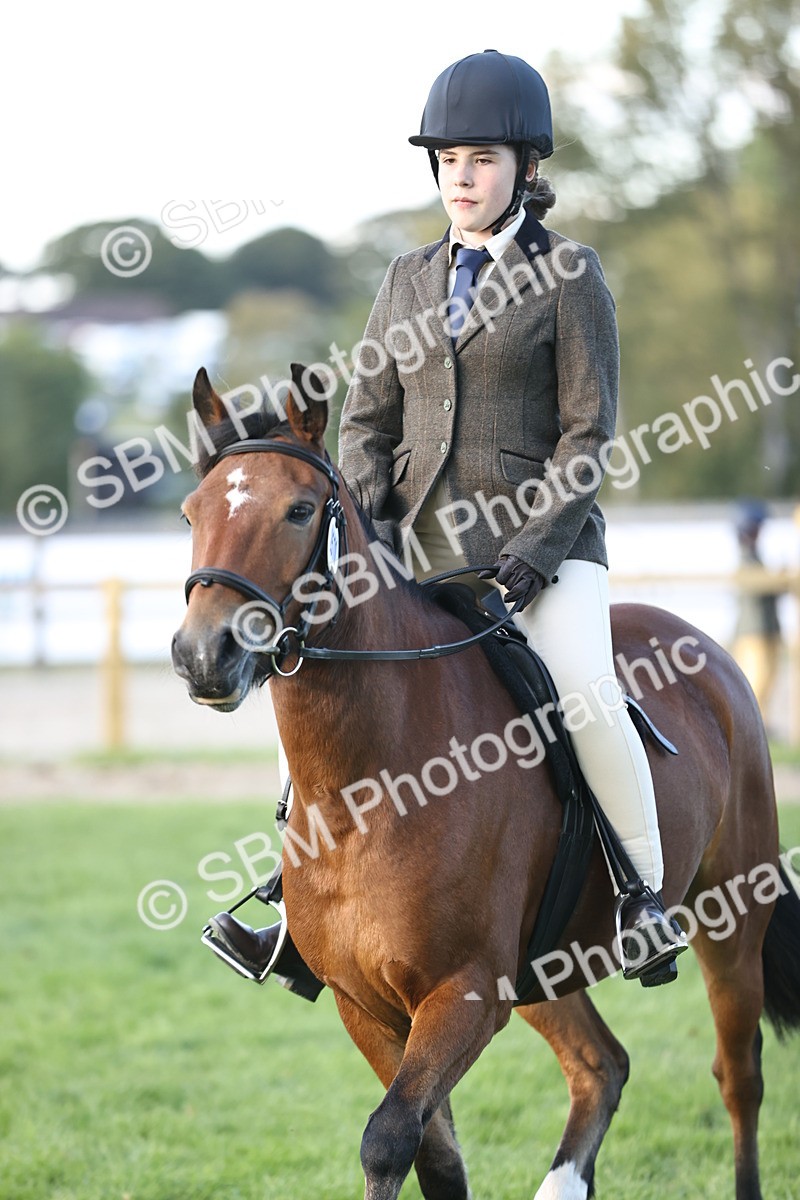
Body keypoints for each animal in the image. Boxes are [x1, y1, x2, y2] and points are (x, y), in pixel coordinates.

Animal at [171, 363, 800, 1200]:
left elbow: (387, 1138)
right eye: (192, 512)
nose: (201, 655)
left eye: (299, 510)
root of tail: (707, 649)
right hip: (548, 967)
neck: (366, 790)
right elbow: (433, 1155)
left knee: (739, 1077)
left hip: (731, 922)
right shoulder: (365, 1004)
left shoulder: (463, 992)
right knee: (602, 1066)